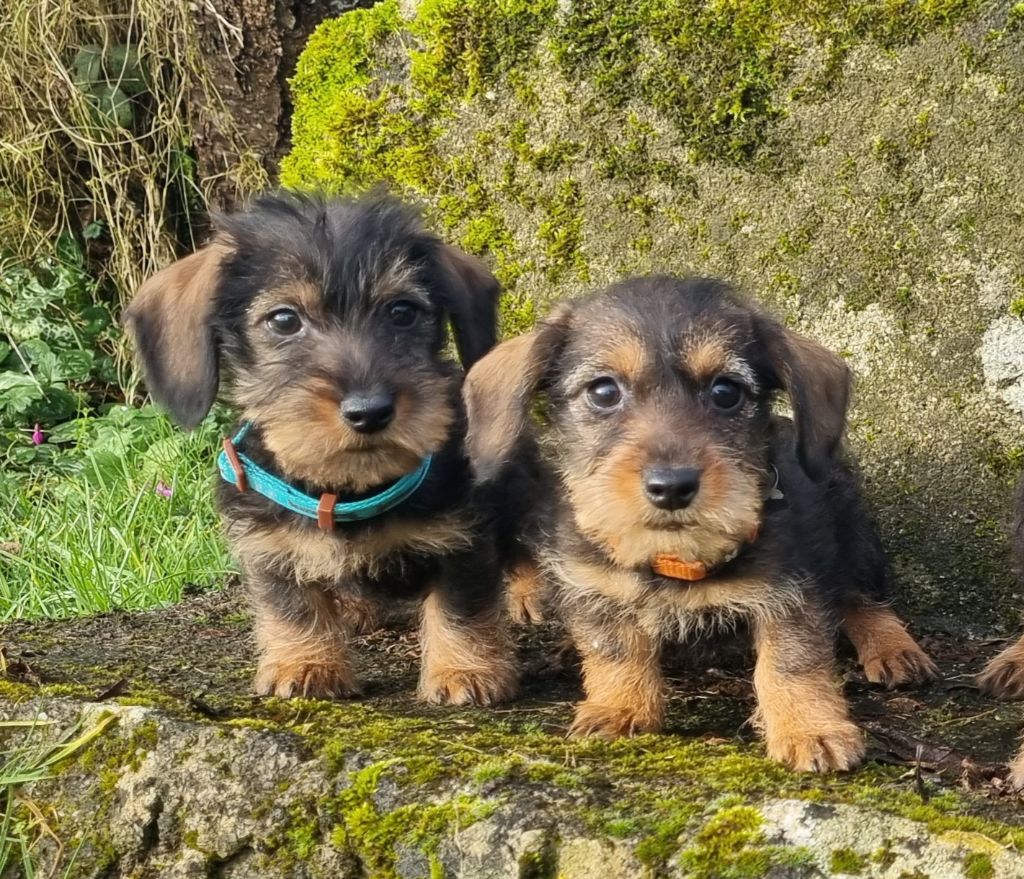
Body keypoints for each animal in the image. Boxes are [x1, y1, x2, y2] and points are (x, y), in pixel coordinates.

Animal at [121, 193, 520, 704]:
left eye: (403, 311)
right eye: (284, 319)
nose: (369, 411)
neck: (347, 488)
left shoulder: (462, 536)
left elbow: (460, 606)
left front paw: (463, 671)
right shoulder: (269, 545)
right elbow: (292, 605)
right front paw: (306, 663)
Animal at [464, 274, 937, 766]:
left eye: (726, 391)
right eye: (603, 391)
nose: (671, 487)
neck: (674, 557)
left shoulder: (791, 594)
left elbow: (792, 662)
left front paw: (811, 729)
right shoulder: (594, 586)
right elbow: (614, 648)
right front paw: (619, 707)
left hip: (855, 537)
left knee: (863, 599)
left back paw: (894, 649)